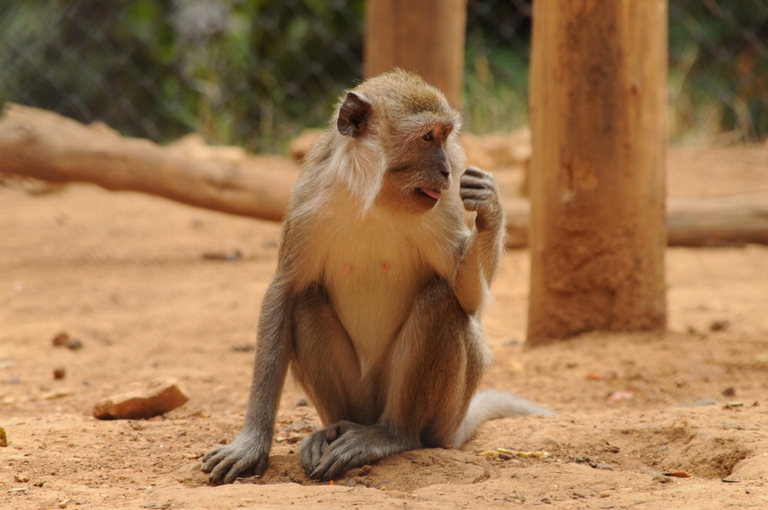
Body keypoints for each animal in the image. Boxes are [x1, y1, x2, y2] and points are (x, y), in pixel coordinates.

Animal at [202, 70, 553, 485]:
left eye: (445, 136)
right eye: (427, 137)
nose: (446, 171)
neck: (377, 199)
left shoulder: (443, 207)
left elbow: (467, 298)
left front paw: (491, 207)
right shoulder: (308, 201)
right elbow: (284, 293)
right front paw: (251, 442)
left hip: (442, 415)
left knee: (440, 301)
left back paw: (391, 435)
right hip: (359, 397)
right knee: (307, 299)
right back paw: (332, 430)